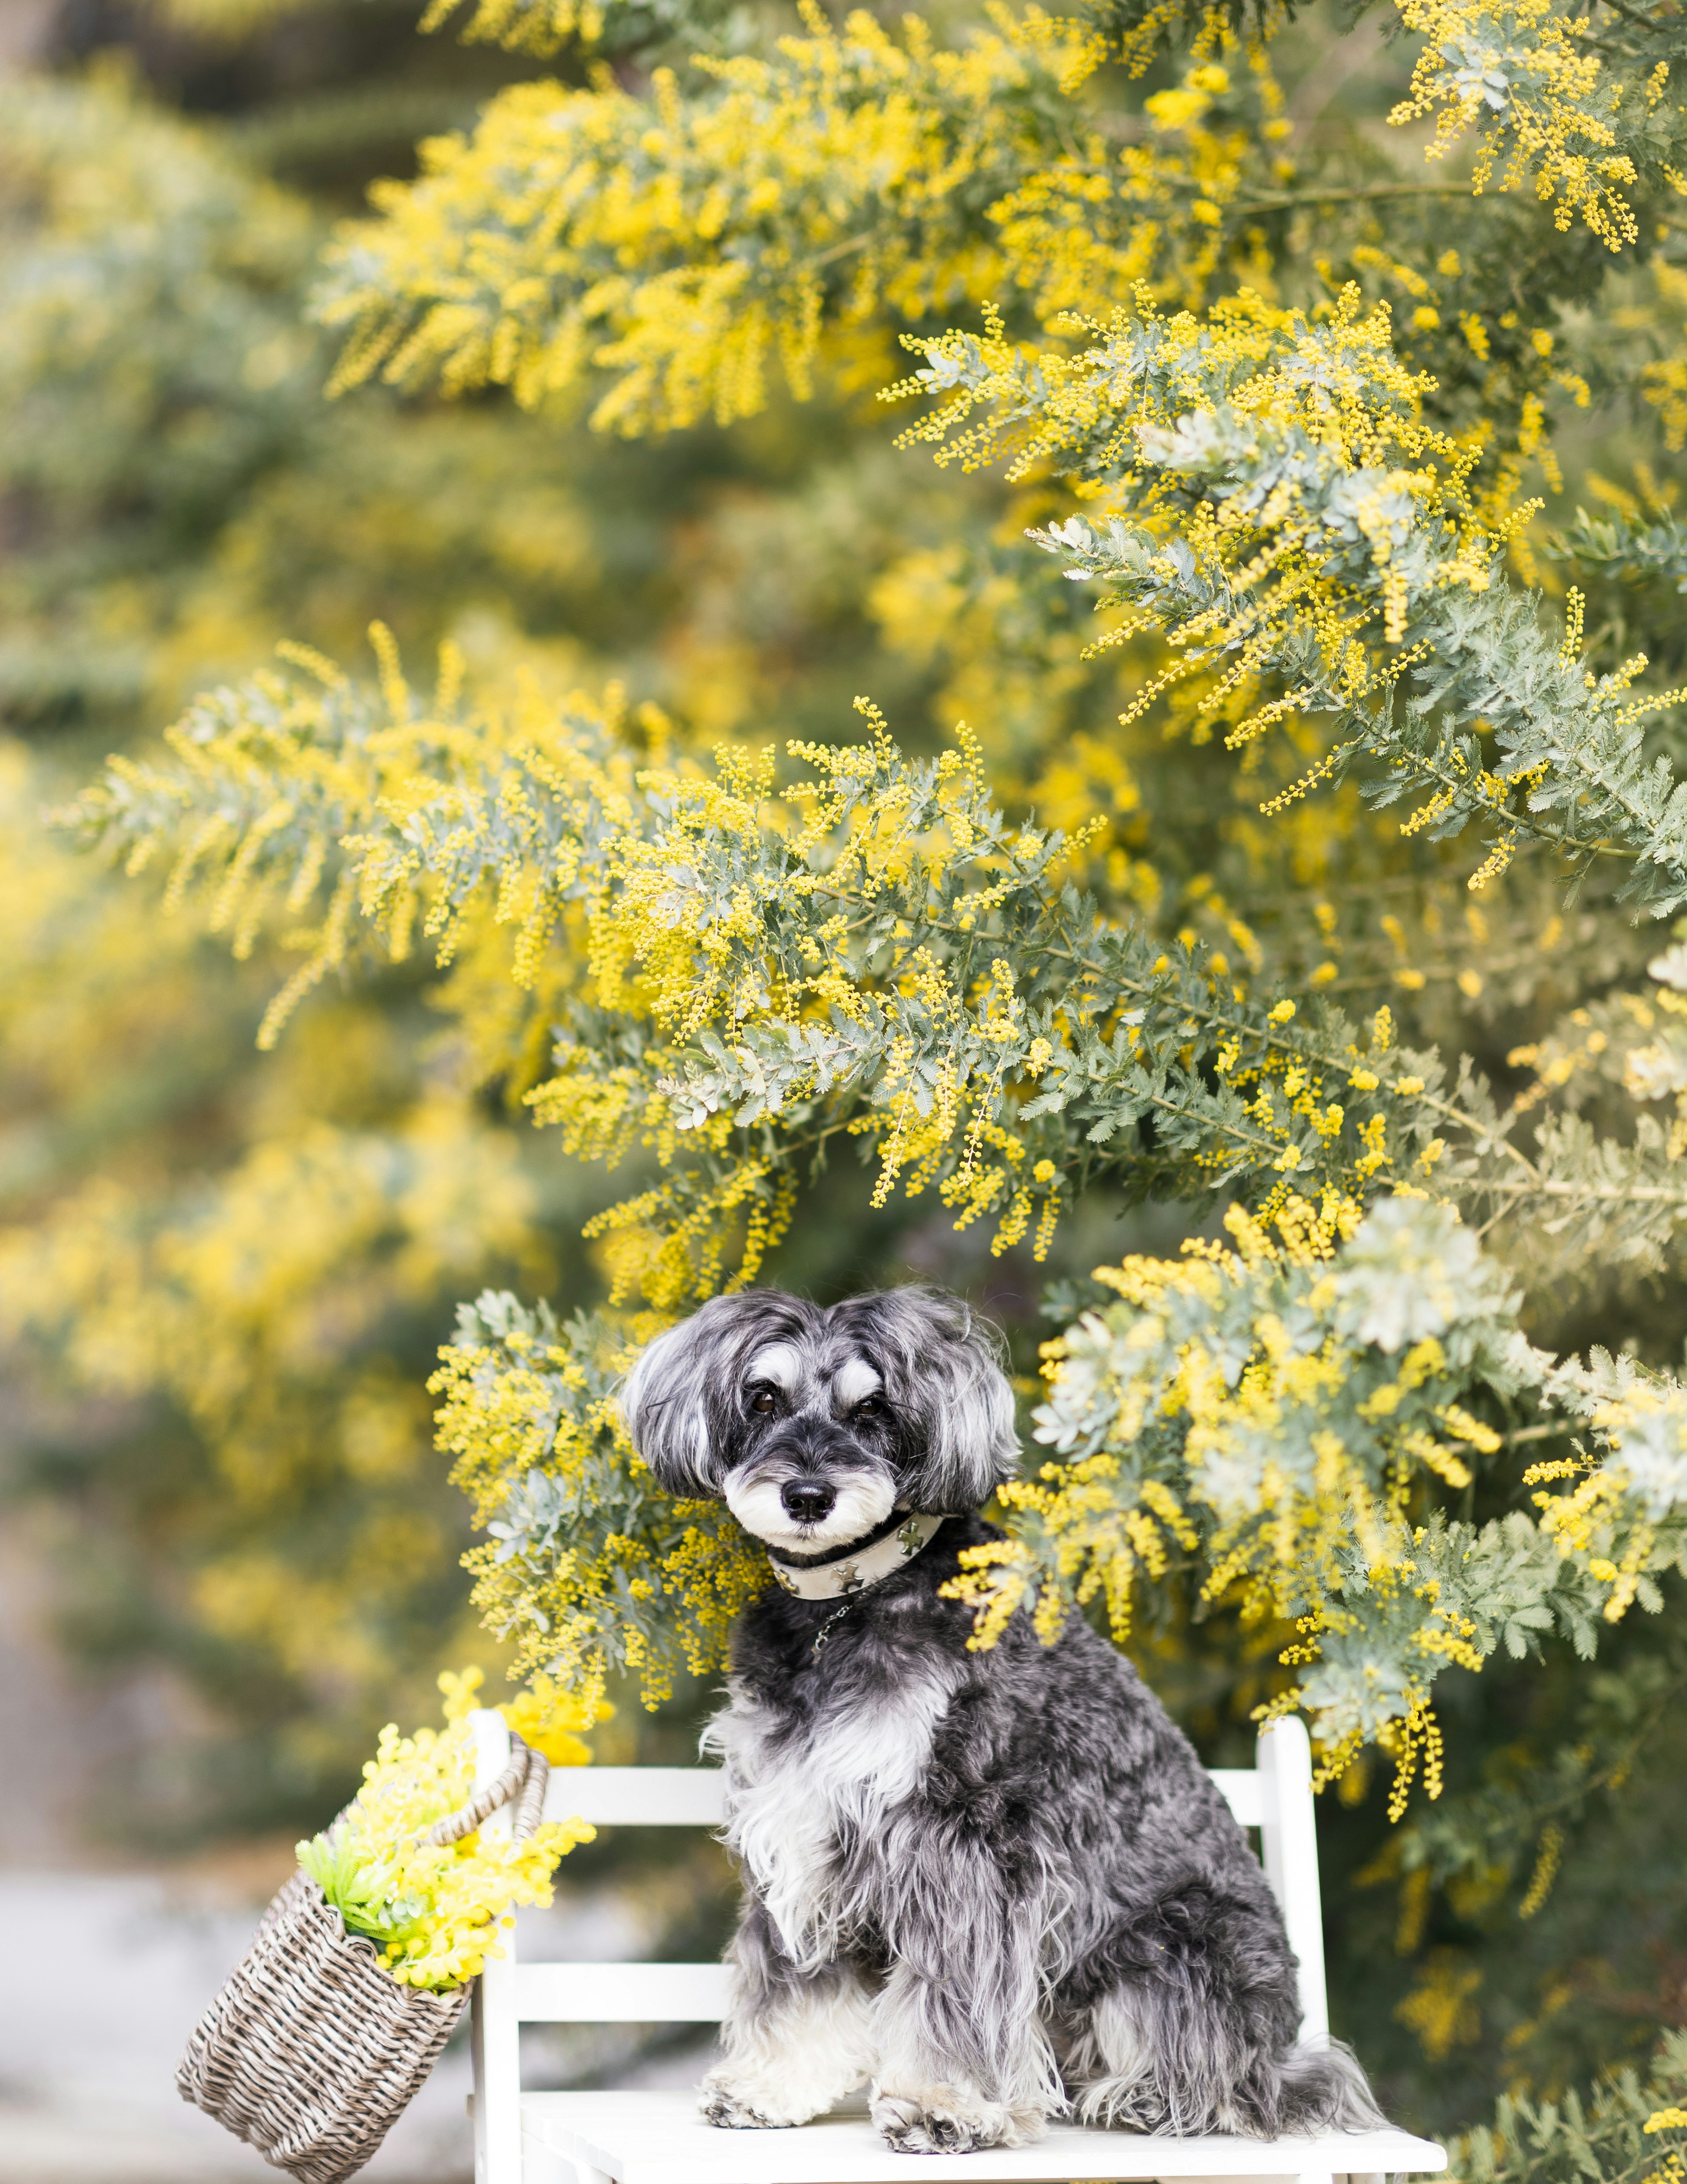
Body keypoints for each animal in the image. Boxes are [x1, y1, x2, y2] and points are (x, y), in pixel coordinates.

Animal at [619, 1275, 1379, 2149]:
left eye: (873, 1408)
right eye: (764, 1396)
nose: (807, 1496)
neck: (843, 1604)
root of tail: (1287, 2045)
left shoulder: (963, 1840)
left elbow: (954, 1990)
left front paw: (942, 2104)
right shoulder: (797, 1814)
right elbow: (790, 1973)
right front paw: (770, 2085)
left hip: (1172, 1943)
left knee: (1235, 2081)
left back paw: (1144, 2095)